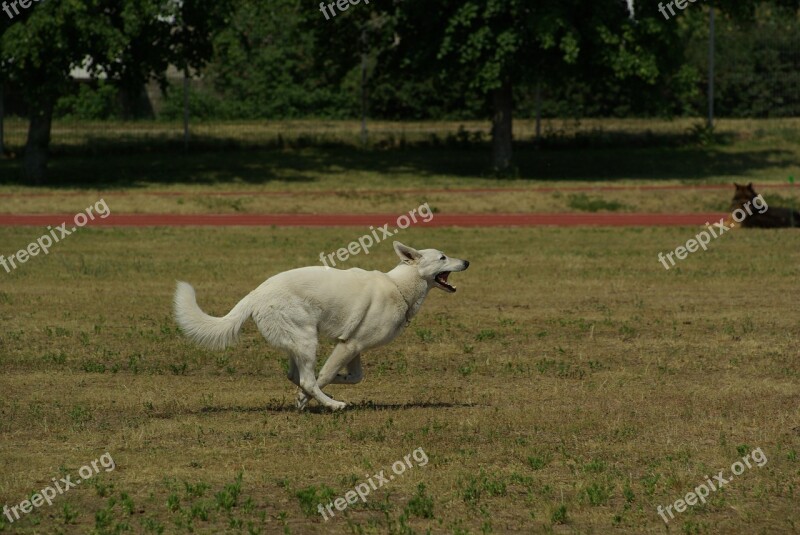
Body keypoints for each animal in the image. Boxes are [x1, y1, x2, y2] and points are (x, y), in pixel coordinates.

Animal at [173, 241, 468, 412]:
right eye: (443, 257)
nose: (467, 261)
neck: (400, 287)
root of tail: (256, 293)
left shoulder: (353, 347)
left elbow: (353, 376)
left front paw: (330, 385)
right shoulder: (349, 345)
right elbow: (323, 376)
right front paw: (307, 398)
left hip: (299, 342)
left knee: (295, 375)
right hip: (306, 340)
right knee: (306, 378)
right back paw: (333, 404)